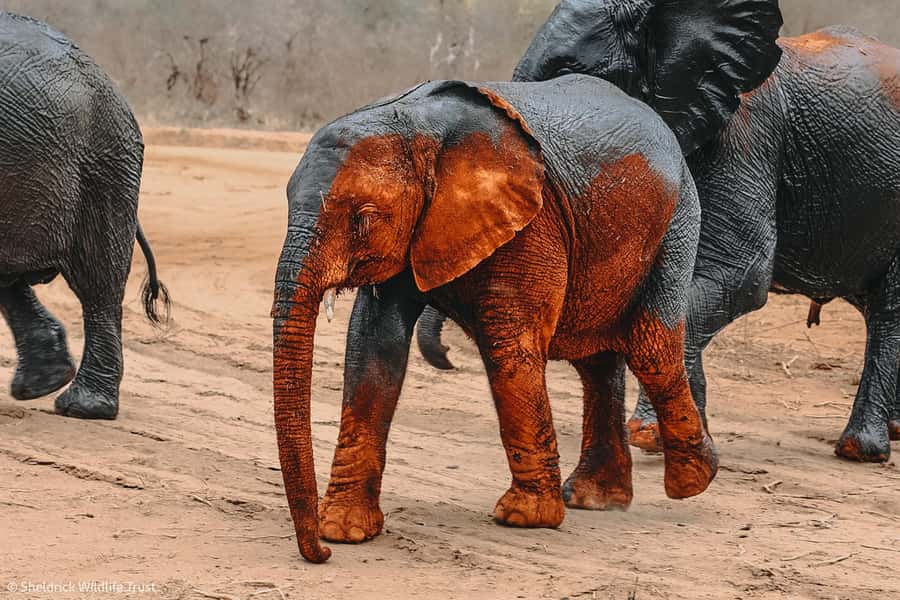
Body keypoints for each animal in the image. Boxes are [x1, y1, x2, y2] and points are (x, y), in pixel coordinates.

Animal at [420, 0, 900, 462]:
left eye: (571, 78)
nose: (446, 359)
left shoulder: (748, 133)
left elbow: (737, 276)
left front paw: (650, 435)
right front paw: (683, 439)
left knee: (889, 311)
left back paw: (861, 449)